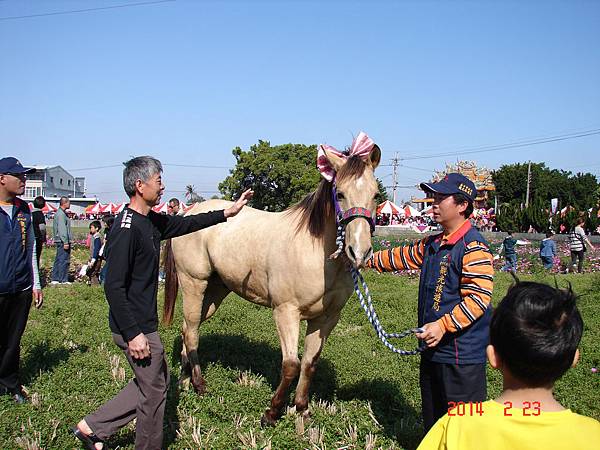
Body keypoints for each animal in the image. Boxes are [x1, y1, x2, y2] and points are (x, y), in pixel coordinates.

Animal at [163, 135, 380, 424]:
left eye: (376, 195)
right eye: (340, 194)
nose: (359, 251)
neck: (314, 251)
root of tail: (188, 213)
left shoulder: (326, 319)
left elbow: (309, 364)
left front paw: (302, 409)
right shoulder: (286, 312)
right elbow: (291, 365)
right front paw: (272, 412)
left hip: (215, 291)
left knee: (188, 328)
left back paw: (185, 381)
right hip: (194, 284)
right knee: (192, 331)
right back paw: (199, 385)